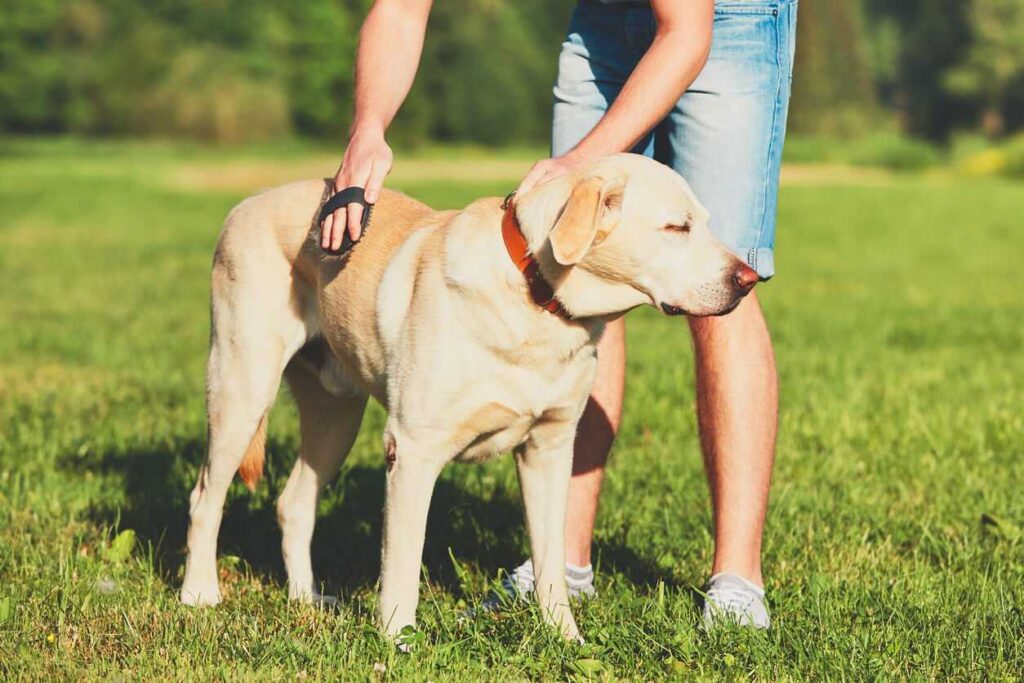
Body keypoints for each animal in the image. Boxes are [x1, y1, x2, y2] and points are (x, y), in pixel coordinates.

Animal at [180, 152, 757, 643]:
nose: (750, 279)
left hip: (335, 416)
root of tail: (248, 202)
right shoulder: (412, 451)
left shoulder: (549, 451)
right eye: (677, 227)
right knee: (205, 497)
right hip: (241, 385)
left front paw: (565, 640)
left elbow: (550, 561)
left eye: (706, 223)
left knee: (293, 503)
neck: (538, 300)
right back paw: (199, 594)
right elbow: (404, 560)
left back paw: (306, 599)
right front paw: (398, 641)